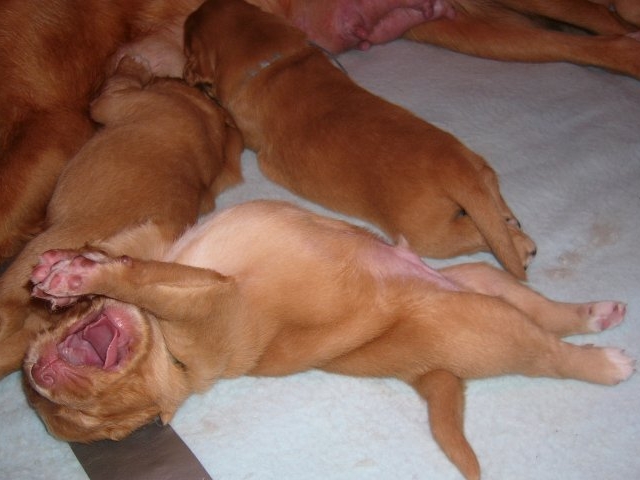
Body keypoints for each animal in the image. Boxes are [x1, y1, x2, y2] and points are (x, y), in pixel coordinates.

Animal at [0, 56, 242, 379]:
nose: (178, 76)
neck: (203, 118)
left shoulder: (114, 101)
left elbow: (115, 87)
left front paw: (132, 65)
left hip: (29, 260)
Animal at [24, 199, 634, 480]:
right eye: (86, 421)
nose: (38, 372)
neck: (170, 359)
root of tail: (424, 374)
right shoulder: (207, 295)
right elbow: (140, 276)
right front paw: (80, 278)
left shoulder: (161, 248)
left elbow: (120, 252)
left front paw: (62, 274)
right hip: (487, 319)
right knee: (550, 354)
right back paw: (607, 361)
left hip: (484, 281)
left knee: (549, 313)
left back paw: (598, 313)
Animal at [183, 0, 537, 279]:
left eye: (186, 36)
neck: (270, 56)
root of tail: (457, 168)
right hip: (482, 174)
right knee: (497, 214)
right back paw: (511, 224)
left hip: (431, 234)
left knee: (477, 234)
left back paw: (523, 248)